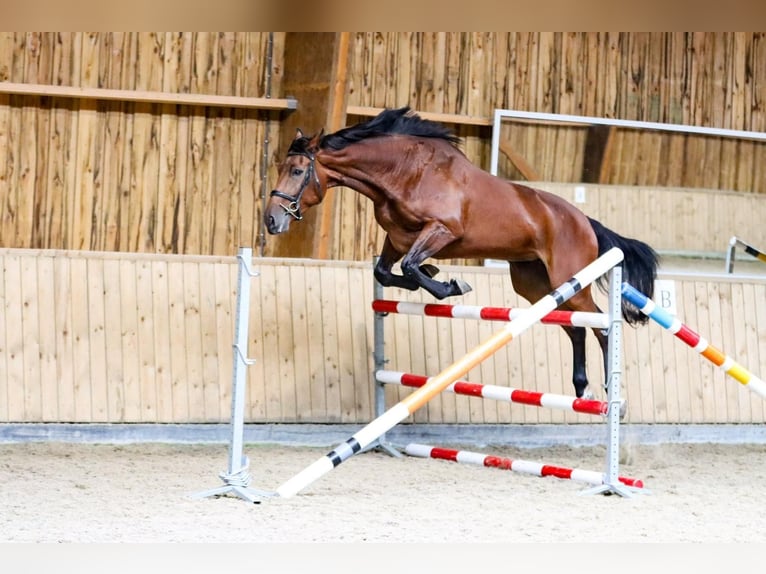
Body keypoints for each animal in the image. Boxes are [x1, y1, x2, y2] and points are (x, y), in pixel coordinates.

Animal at [266, 106, 660, 398]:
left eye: (298, 171)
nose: (271, 220)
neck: (405, 173)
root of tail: (584, 221)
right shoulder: (397, 238)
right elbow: (387, 271)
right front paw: (434, 278)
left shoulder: (442, 231)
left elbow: (411, 266)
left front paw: (451, 285)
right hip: (536, 284)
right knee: (575, 327)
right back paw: (581, 388)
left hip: (571, 279)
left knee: (599, 326)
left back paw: (608, 391)